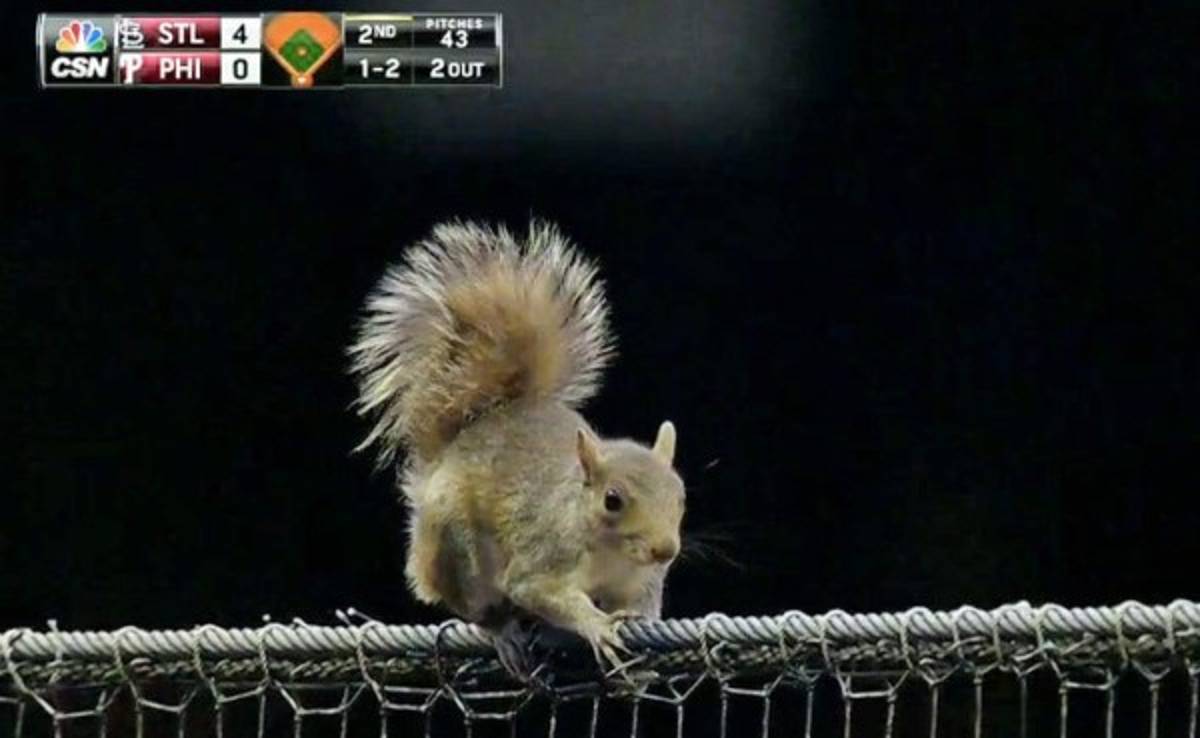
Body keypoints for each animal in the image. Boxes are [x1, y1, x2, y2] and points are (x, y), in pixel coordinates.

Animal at [348, 220, 685, 674]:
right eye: (612, 500)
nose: (665, 550)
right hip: (459, 550)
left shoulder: (642, 580)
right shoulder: (543, 559)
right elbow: (540, 592)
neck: (611, 554)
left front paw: (636, 624)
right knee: (479, 607)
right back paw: (503, 632)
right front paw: (595, 626)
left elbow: (643, 604)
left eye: (681, 497)